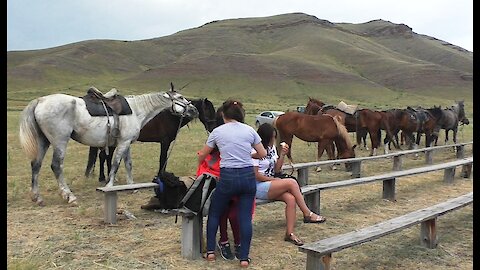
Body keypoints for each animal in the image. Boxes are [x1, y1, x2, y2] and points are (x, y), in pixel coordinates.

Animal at [18, 88, 199, 205]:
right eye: (181, 97)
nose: (194, 110)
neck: (136, 110)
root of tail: (40, 101)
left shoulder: (126, 143)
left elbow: (128, 164)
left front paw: (132, 187)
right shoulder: (123, 143)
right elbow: (115, 164)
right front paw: (110, 186)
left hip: (43, 141)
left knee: (36, 165)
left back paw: (37, 197)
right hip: (60, 141)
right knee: (56, 166)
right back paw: (69, 196)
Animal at [84, 97, 216, 181]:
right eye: (207, 110)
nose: (213, 127)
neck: (171, 116)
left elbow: (164, 159)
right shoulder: (164, 142)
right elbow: (162, 159)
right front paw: (160, 176)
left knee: (107, 156)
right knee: (103, 156)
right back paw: (103, 178)